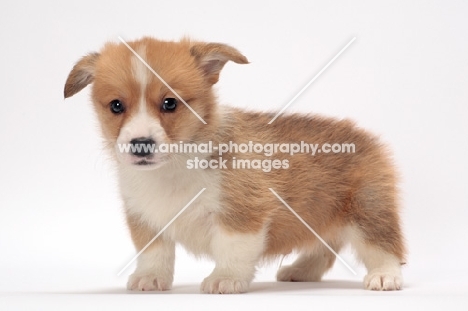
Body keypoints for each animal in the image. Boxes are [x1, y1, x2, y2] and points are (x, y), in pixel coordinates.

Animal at [63, 37, 406, 294]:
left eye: (170, 103)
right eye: (116, 106)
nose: (141, 143)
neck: (175, 165)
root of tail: (364, 135)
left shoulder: (241, 213)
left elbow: (232, 248)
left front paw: (224, 279)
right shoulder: (145, 216)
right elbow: (154, 252)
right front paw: (150, 278)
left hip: (368, 210)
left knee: (385, 245)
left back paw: (385, 276)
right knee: (324, 248)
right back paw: (301, 270)